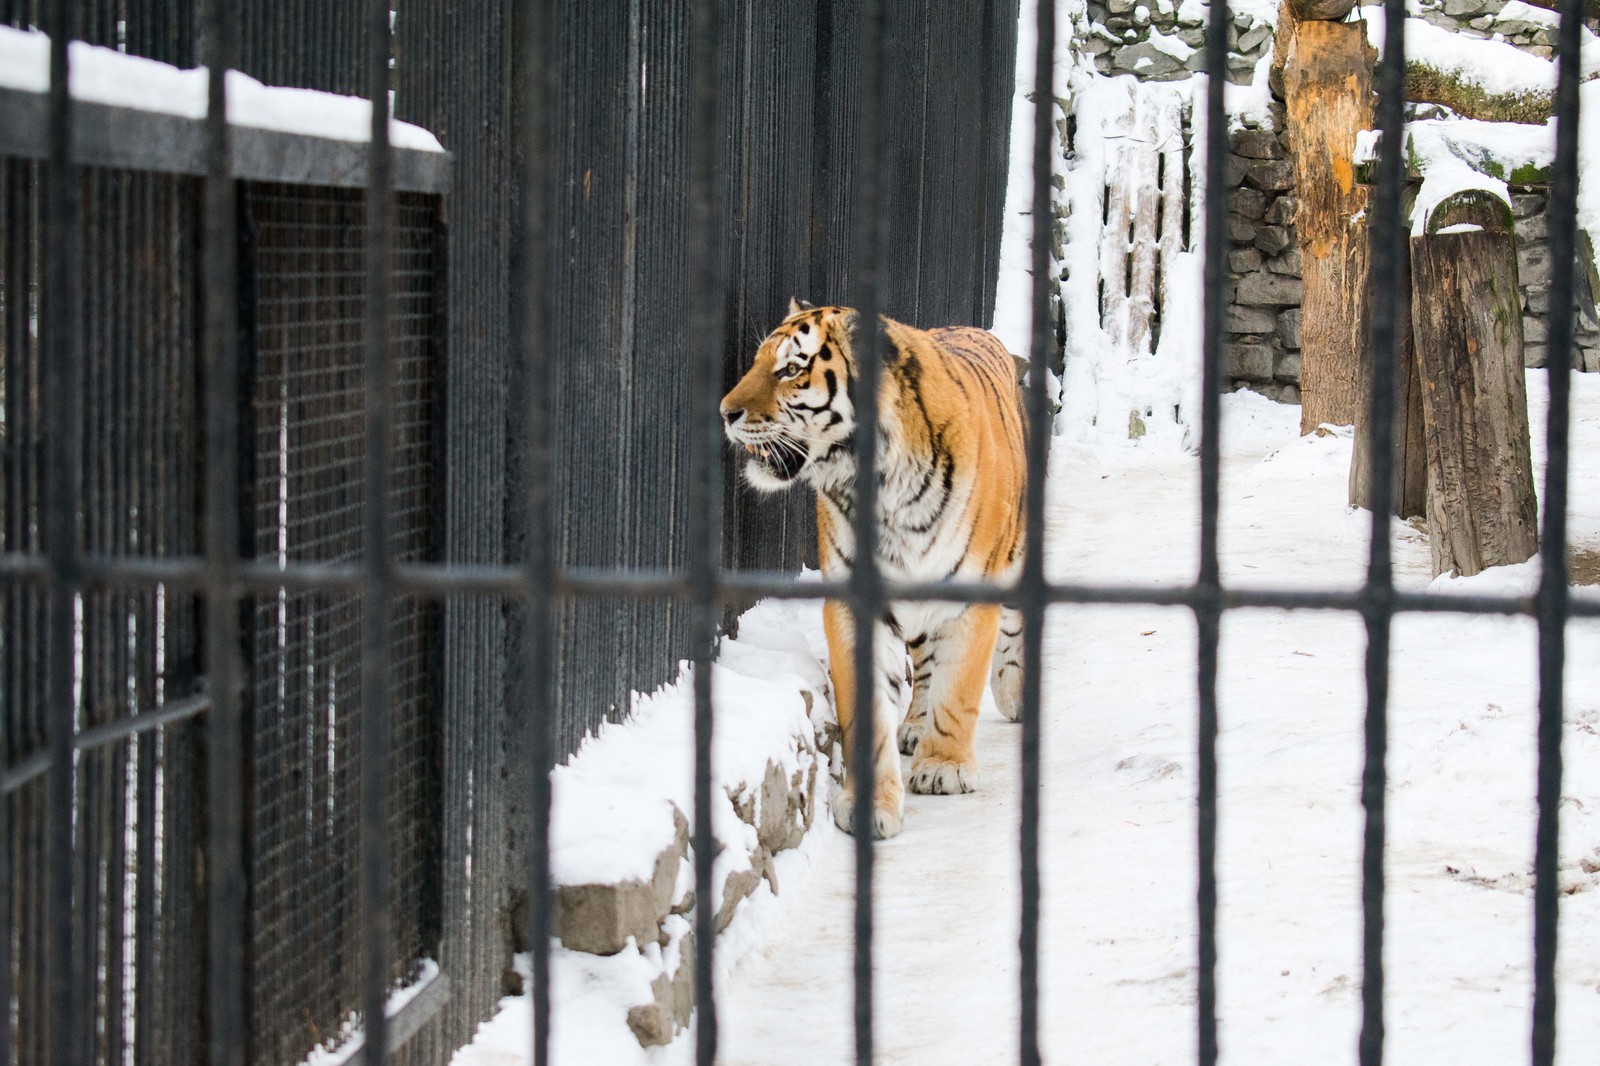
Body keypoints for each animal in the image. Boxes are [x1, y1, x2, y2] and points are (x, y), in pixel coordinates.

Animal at [723, 299, 1030, 838]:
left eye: (791, 369)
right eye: (758, 362)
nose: (725, 412)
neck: (888, 489)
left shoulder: (970, 596)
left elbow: (959, 686)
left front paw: (945, 767)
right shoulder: (857, 601)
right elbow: (868, 706)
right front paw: (871, 801)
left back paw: (1010, 695)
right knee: (925, 665)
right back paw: (914, 725)